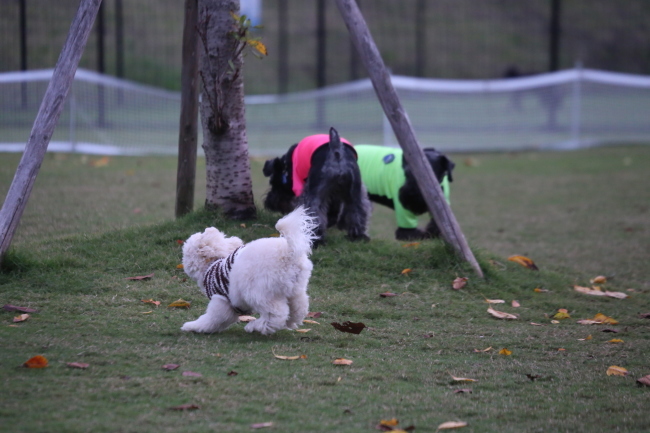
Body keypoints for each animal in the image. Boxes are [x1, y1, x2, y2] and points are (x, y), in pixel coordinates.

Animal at [180, 205, 316, 334]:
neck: (212, 264)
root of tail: (288, 253)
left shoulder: (221, 301)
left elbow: (212, 319)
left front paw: (192, 326)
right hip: (294, 290)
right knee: (299, 308)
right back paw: (290, 322)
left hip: (258, 292)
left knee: (276, 314)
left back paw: (255, 326)